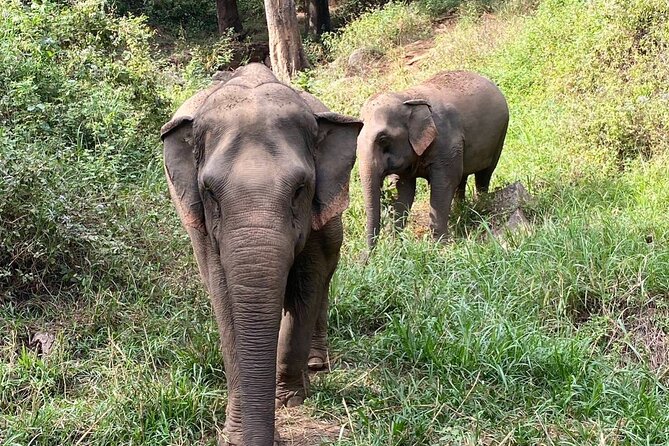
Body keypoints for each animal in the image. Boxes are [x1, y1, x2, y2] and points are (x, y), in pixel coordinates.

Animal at [160, 63, 362, 446]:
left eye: (300, 189)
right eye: (210, 192)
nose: (270, 438)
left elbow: (307, 285)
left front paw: (289, 399)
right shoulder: (204, 231)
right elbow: (225, 302)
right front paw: (236, 435)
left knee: (324, 283)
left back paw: (316, 364)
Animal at [357, 70, 509, 247]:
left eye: (382, 139)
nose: (369, 255)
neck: (407, 97)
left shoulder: (447, 142)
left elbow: (443, 184)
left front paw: (439, 246)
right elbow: (405, 191)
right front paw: (396, 245)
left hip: (500, 135)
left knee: (484, 174)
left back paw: (481, 204)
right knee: (462, 178)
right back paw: (460, 210)